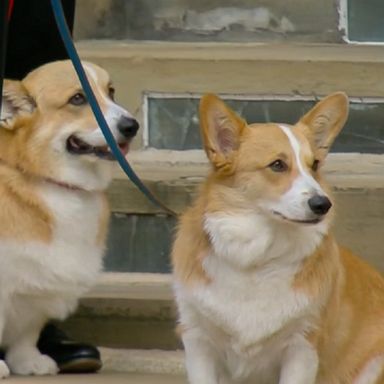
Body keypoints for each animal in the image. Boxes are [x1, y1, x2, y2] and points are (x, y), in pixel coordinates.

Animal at [0, 60, 138, 378]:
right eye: (77, 98)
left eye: (111, 91)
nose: (132, 126)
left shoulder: (39, 280)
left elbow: (27, 332)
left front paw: (29, 361)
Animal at [173, 93, 384, 384]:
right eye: (277, 165)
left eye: (314, 165)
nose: (323, 204)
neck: (257, 259)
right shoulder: (198, 340)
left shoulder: (302, 346)